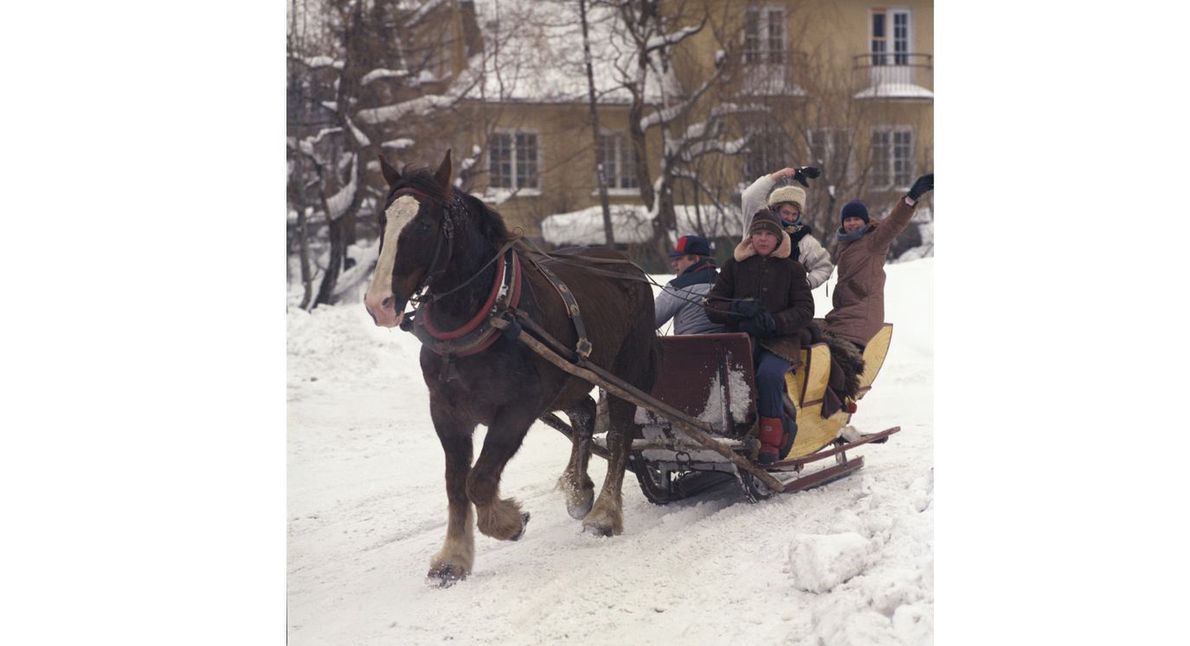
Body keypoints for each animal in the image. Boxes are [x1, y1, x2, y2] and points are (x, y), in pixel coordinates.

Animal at [361, 151, 661, 585]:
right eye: (383, 222)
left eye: (425, 224)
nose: (378, 303)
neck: (487, 312)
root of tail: (628, 266)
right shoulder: (446, 412)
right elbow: (455, 484)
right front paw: (453, 558)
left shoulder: (518, 409)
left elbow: (480, 480)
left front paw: (509, 522)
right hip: (568, 380)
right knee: (585, 412)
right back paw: (578, 489)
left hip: (625, 373)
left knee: (620, 435)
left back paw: (604, 514)